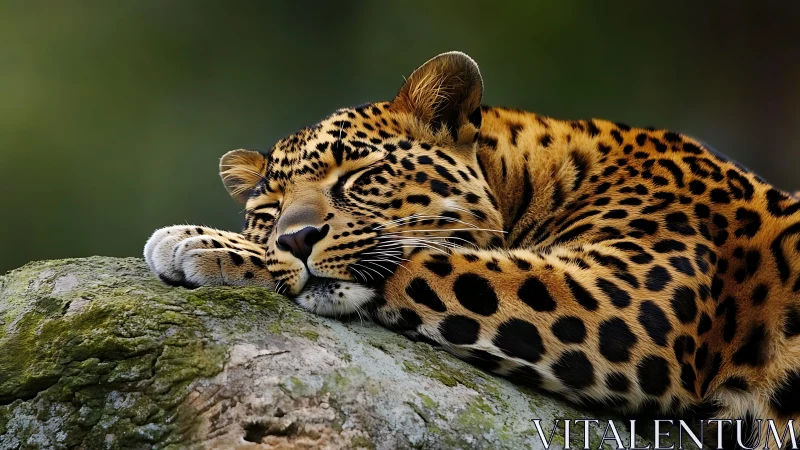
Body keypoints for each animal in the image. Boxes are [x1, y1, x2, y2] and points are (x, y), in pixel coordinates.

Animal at [145, 52, 800, 448]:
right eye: (268, 211)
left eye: (359, 177)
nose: (295, 237)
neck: (533, 177)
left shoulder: (624, 298)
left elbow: (417, 258)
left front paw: (203, 243)